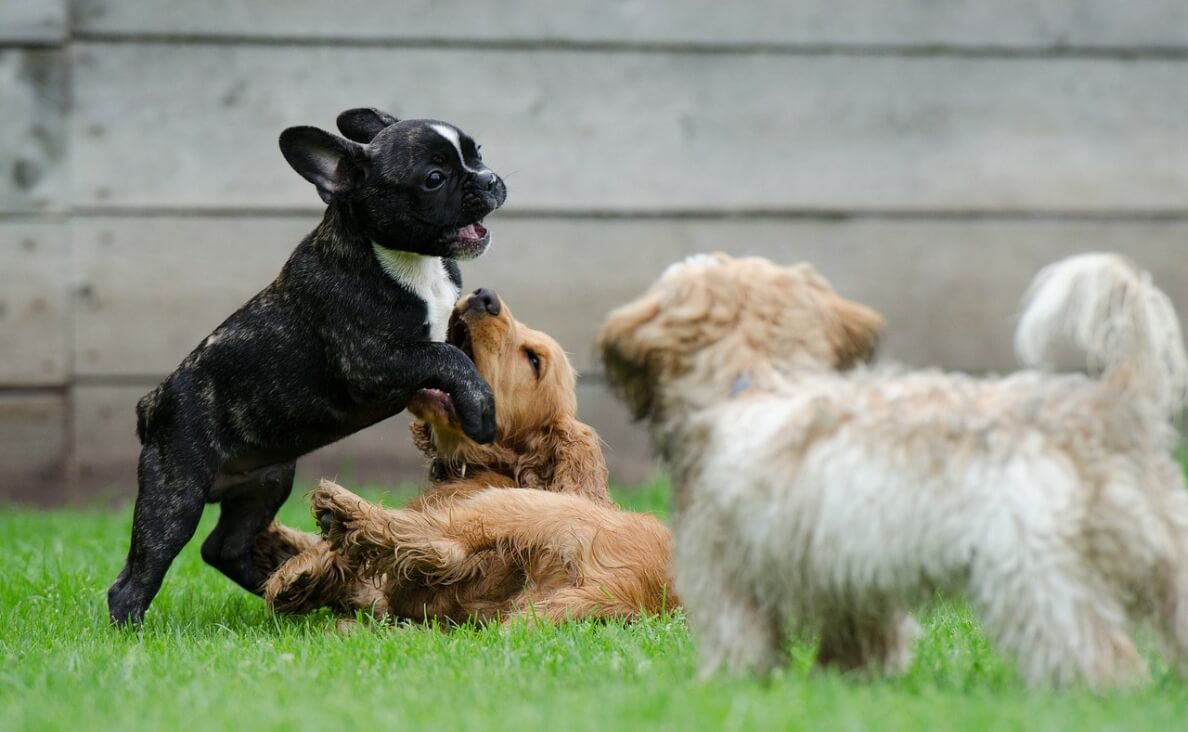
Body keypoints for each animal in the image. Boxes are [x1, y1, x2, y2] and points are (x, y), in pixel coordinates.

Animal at [105, 106, 506, 622]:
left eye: (477, 154)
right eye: (434, 179)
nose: (489, 178)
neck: (409, 260)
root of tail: (154, 402)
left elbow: (457, 349)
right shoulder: (372, 362)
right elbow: (446, 355)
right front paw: (480, 409)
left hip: (267, 482)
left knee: (223, 547)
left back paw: (286, 590)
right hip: (175, 495)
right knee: (139, 574)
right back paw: (133, 628)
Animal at [256, 289, 674, 622]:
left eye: (534, 360)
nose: (483, 296)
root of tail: (629, 589)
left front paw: (298, 568)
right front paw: (285, 549)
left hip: (516, 507)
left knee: (442, 545)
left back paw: (341, 511)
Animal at [598, 251, 1188, 684]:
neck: (758, 379)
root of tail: (1110, 405)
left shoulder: (727, 572)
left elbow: (739, 638)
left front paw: (728, 686)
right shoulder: (851, 576)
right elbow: (862, 639)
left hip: (1034, 573)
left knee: (1097, 651)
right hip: (1166, 558)